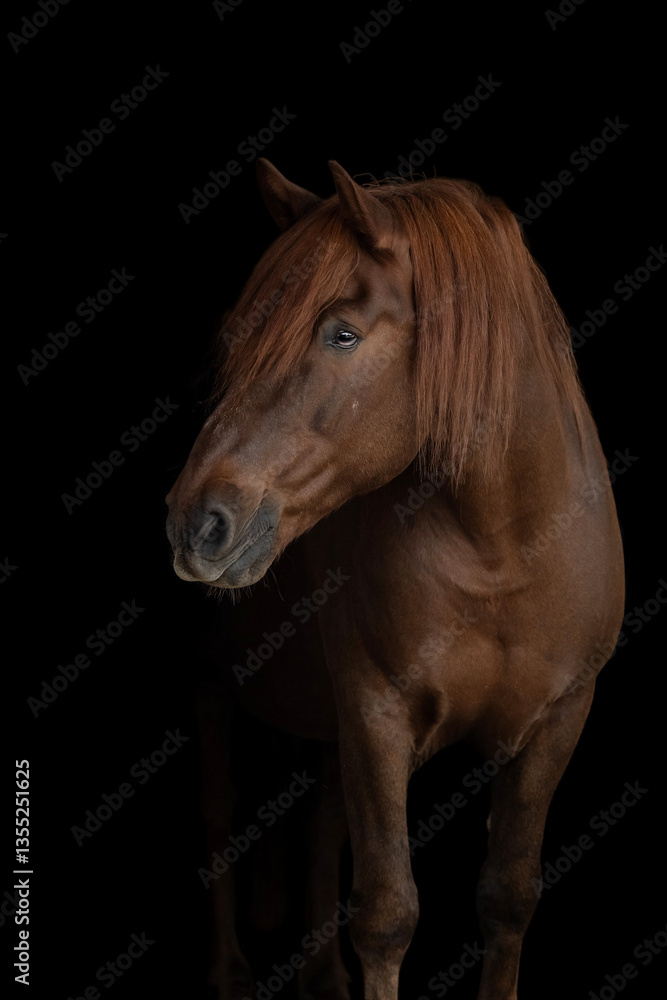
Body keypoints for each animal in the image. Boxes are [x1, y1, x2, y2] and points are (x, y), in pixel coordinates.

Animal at [165, 158, 625, 1000]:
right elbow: (386, 915)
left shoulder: (558, 721)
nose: (194, 521)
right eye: (235, 339)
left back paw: (318, 975)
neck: (501, 550)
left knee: (316, 820)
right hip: (209, 680)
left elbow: (507, 897)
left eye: (341, 333)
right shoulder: (376, 716)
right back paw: (230, 969)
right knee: (218, 810)